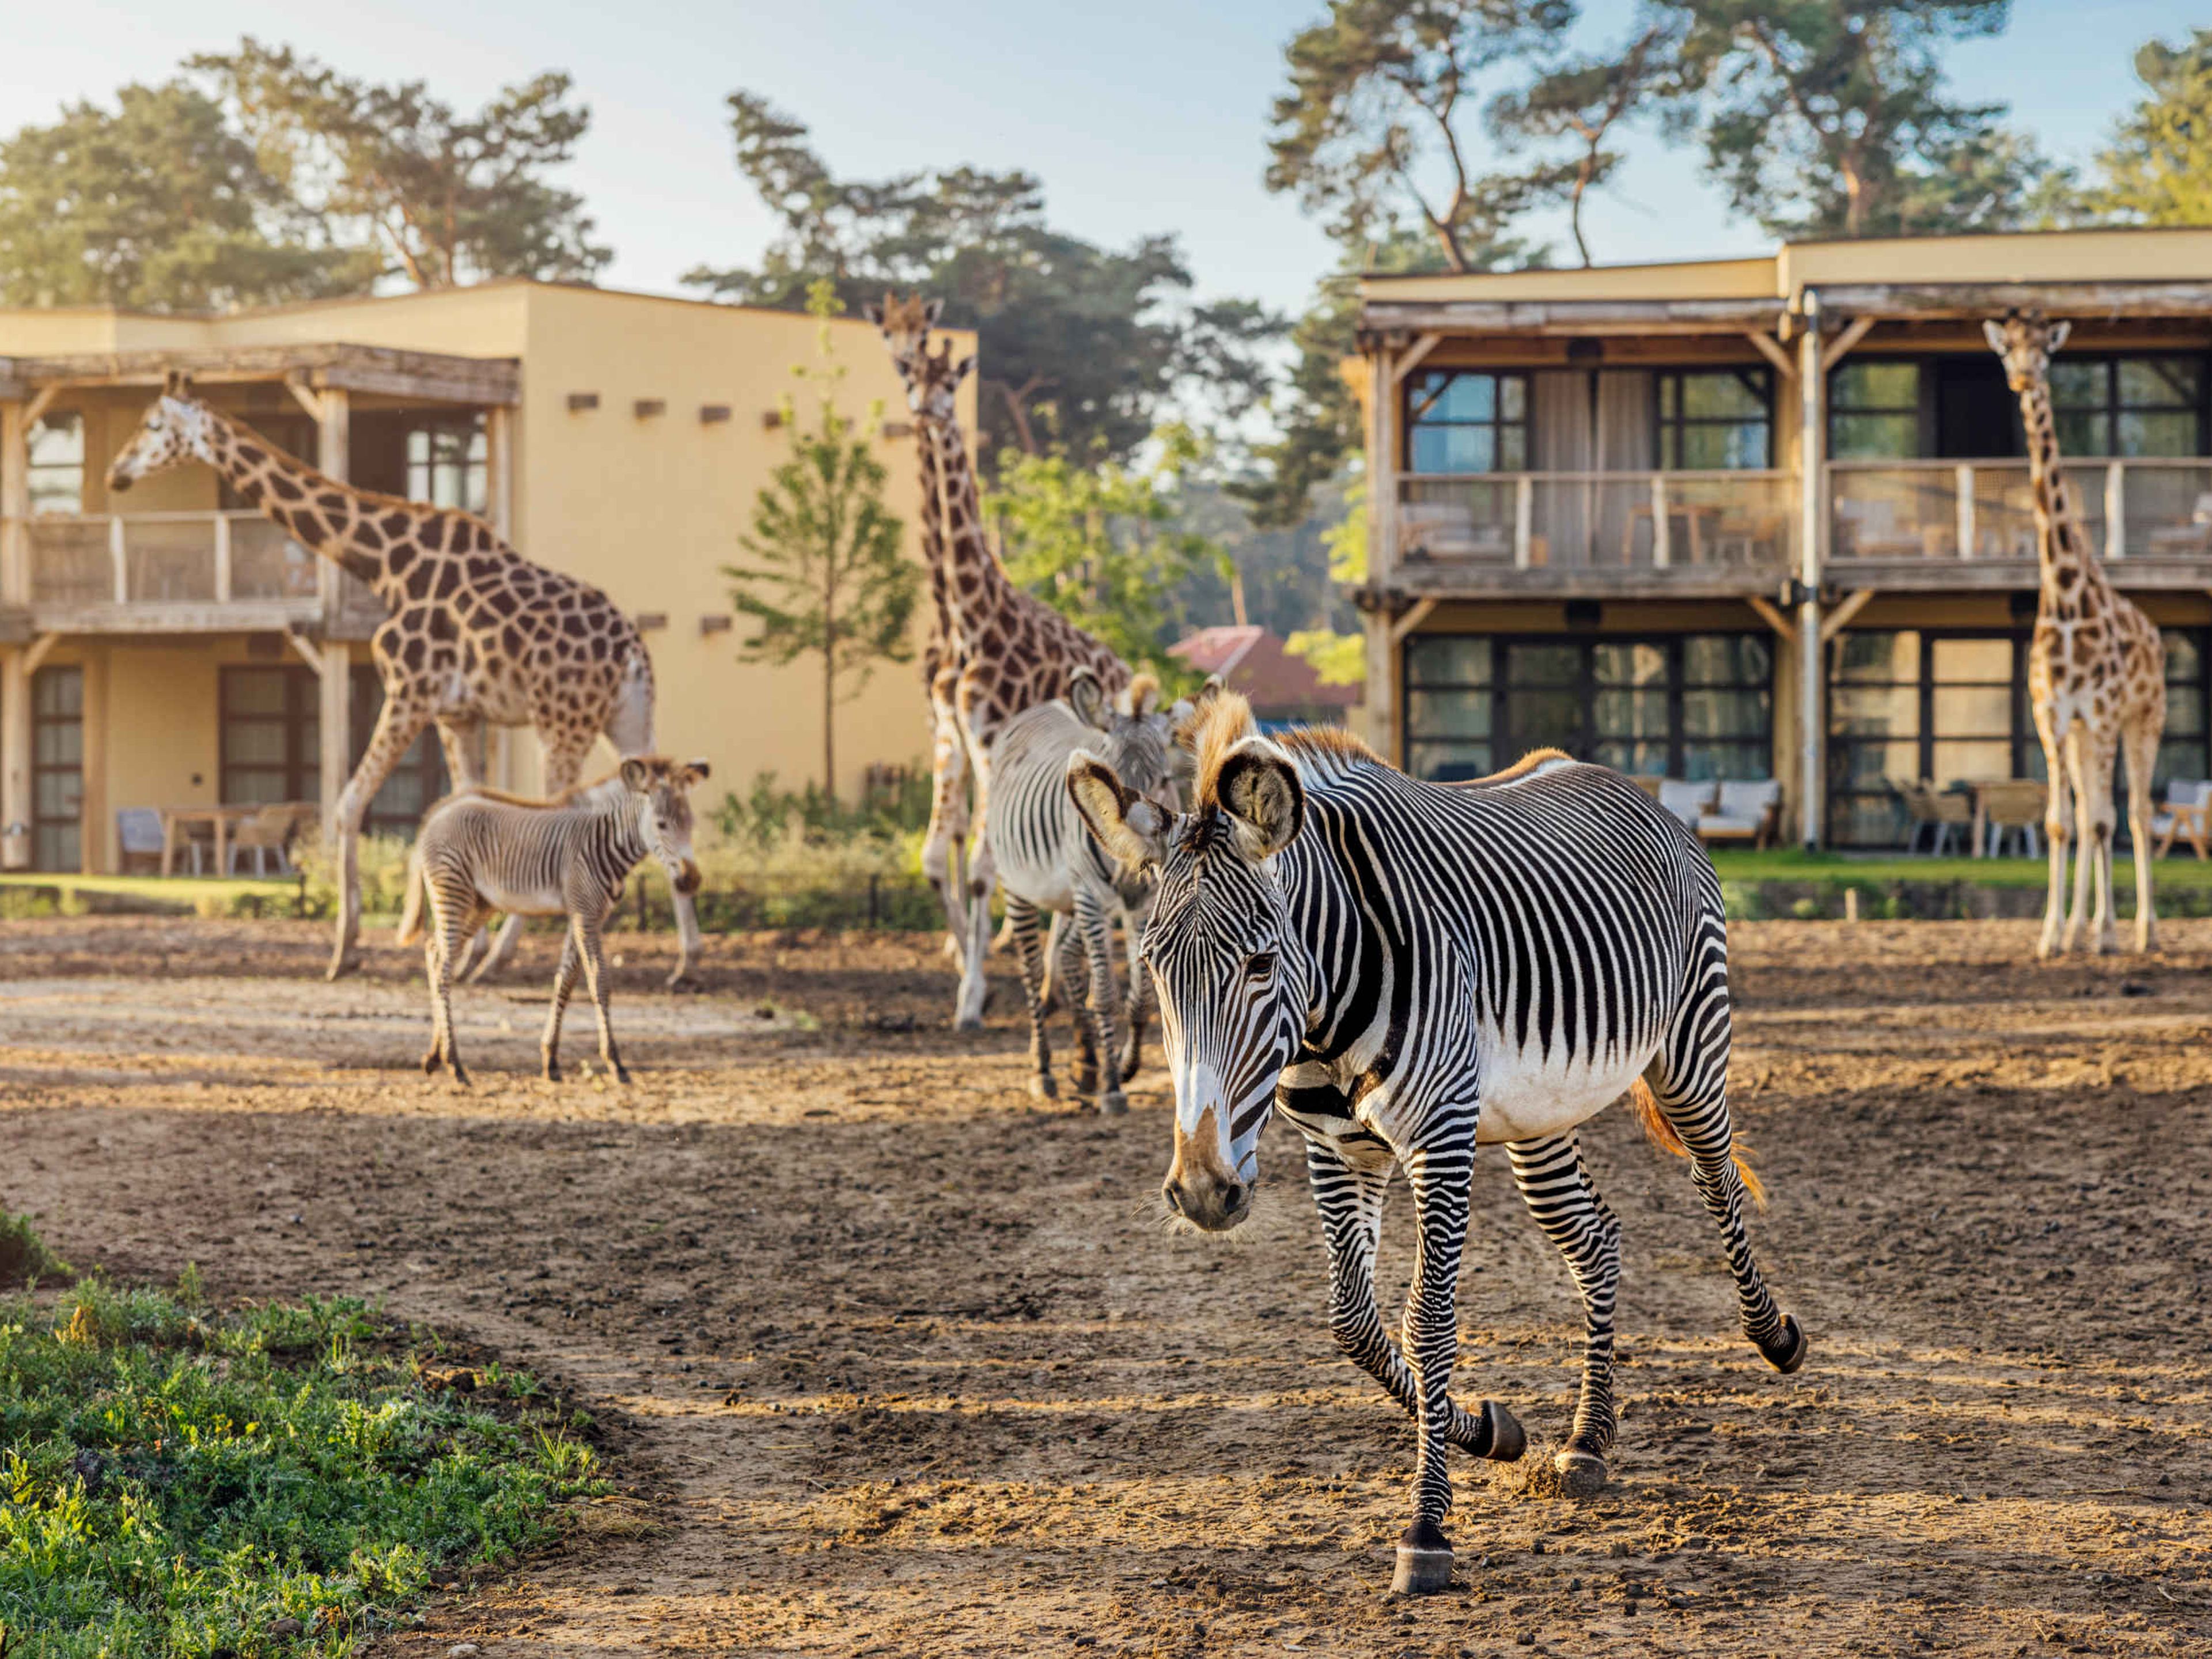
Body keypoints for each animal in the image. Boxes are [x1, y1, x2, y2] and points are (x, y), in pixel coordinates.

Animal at [398, 757, 709, 1087]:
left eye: (691, 824)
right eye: (662, 825)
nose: (691, 881)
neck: (604, 841)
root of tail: (438, 812)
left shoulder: (586, 914)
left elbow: (566, 980)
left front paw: (551, 1058)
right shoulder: (585, 913)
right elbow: (599, 980)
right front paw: (615, 1062)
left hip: (481, 903)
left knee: (435, 953)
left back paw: (434, 1056)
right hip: (453, 892)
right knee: (444, 969)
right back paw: (455, 1063)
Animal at [987, 667, 1184, 1112]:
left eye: (1164, 781)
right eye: (1108, 783)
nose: (1133, 869)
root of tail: (1044, 706)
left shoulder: (1142, 901)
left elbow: (1141, 995)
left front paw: (1124, 1066)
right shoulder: (1094, 895)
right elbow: (1107, 992)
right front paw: (1113, 1085)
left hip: (1072, 900)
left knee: (1067, 957)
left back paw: (1085, 1062)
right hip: (1021, 887)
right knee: (1033, 970)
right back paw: (1043, 1070)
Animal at [1068, 692, 1804, 1597]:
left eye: (1261, 963)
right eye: (1154, 967)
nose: (1204, 1191)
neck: (1326, 1001)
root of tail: (1611, 776)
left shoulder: (1441, 1138)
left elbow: (1428, 1321)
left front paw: (1427, 1530)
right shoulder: (1337, 1150)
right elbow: (1353, 1322)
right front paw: (1489, 1429)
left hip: (1691, 1050)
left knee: (1716, 1175)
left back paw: (1775, 1335)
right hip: (1536, 1119)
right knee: (1596, 1239)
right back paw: (1587, 1441)